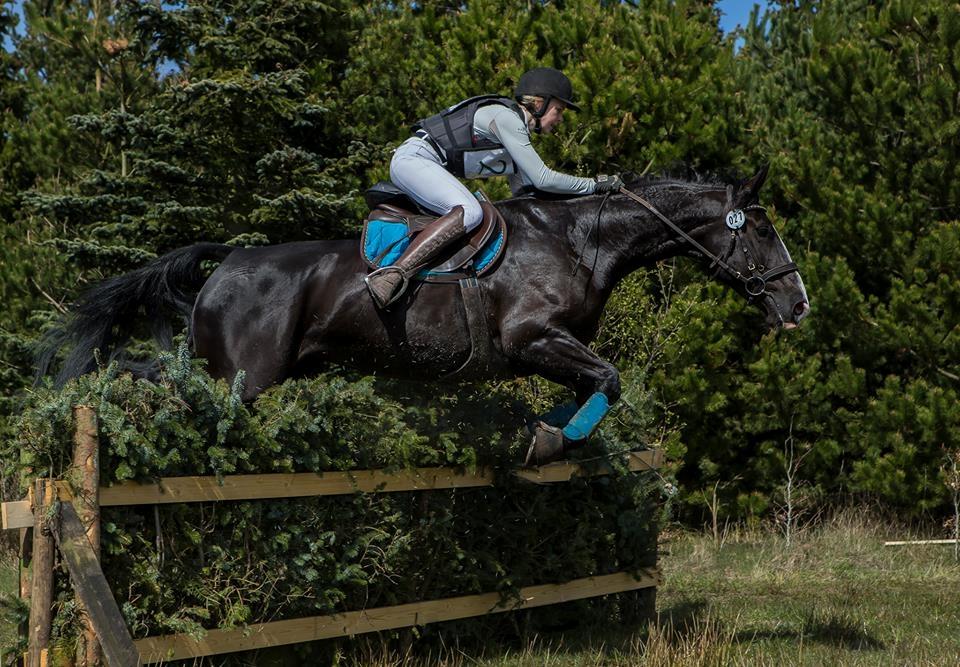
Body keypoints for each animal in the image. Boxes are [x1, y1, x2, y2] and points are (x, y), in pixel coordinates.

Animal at [37, 167, 808, 468]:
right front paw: (548, 442)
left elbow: (593, 386)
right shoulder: (530, 338)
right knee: (163, 384)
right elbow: (609, 379)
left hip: (237, 370)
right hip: (242, 376)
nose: (797, 303)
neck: (582, 240)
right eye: (764, 230)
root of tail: (231, 258)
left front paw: (545, 433)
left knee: (154, 371)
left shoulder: (554, 347)